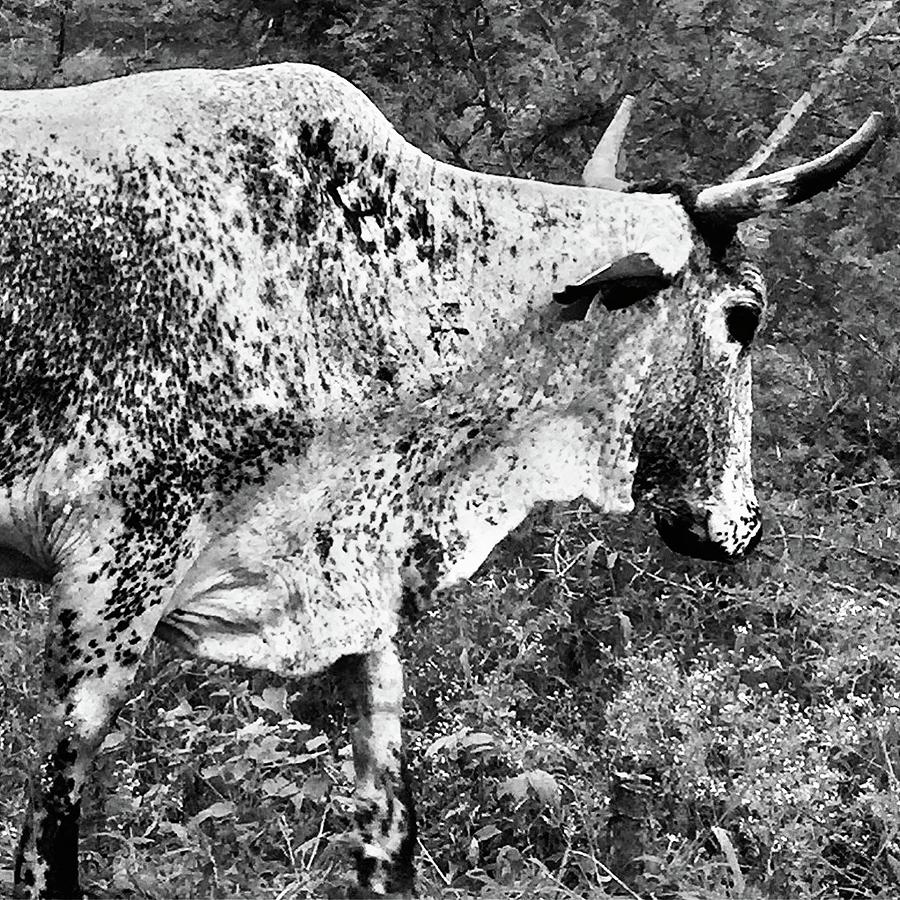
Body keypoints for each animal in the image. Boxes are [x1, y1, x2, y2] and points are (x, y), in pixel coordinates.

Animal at [0, 65, 884, 900]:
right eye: (744, 315)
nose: (740, 525)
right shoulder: (110, 581)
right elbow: (46, 850)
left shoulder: (357, 581)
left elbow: (391, 830)